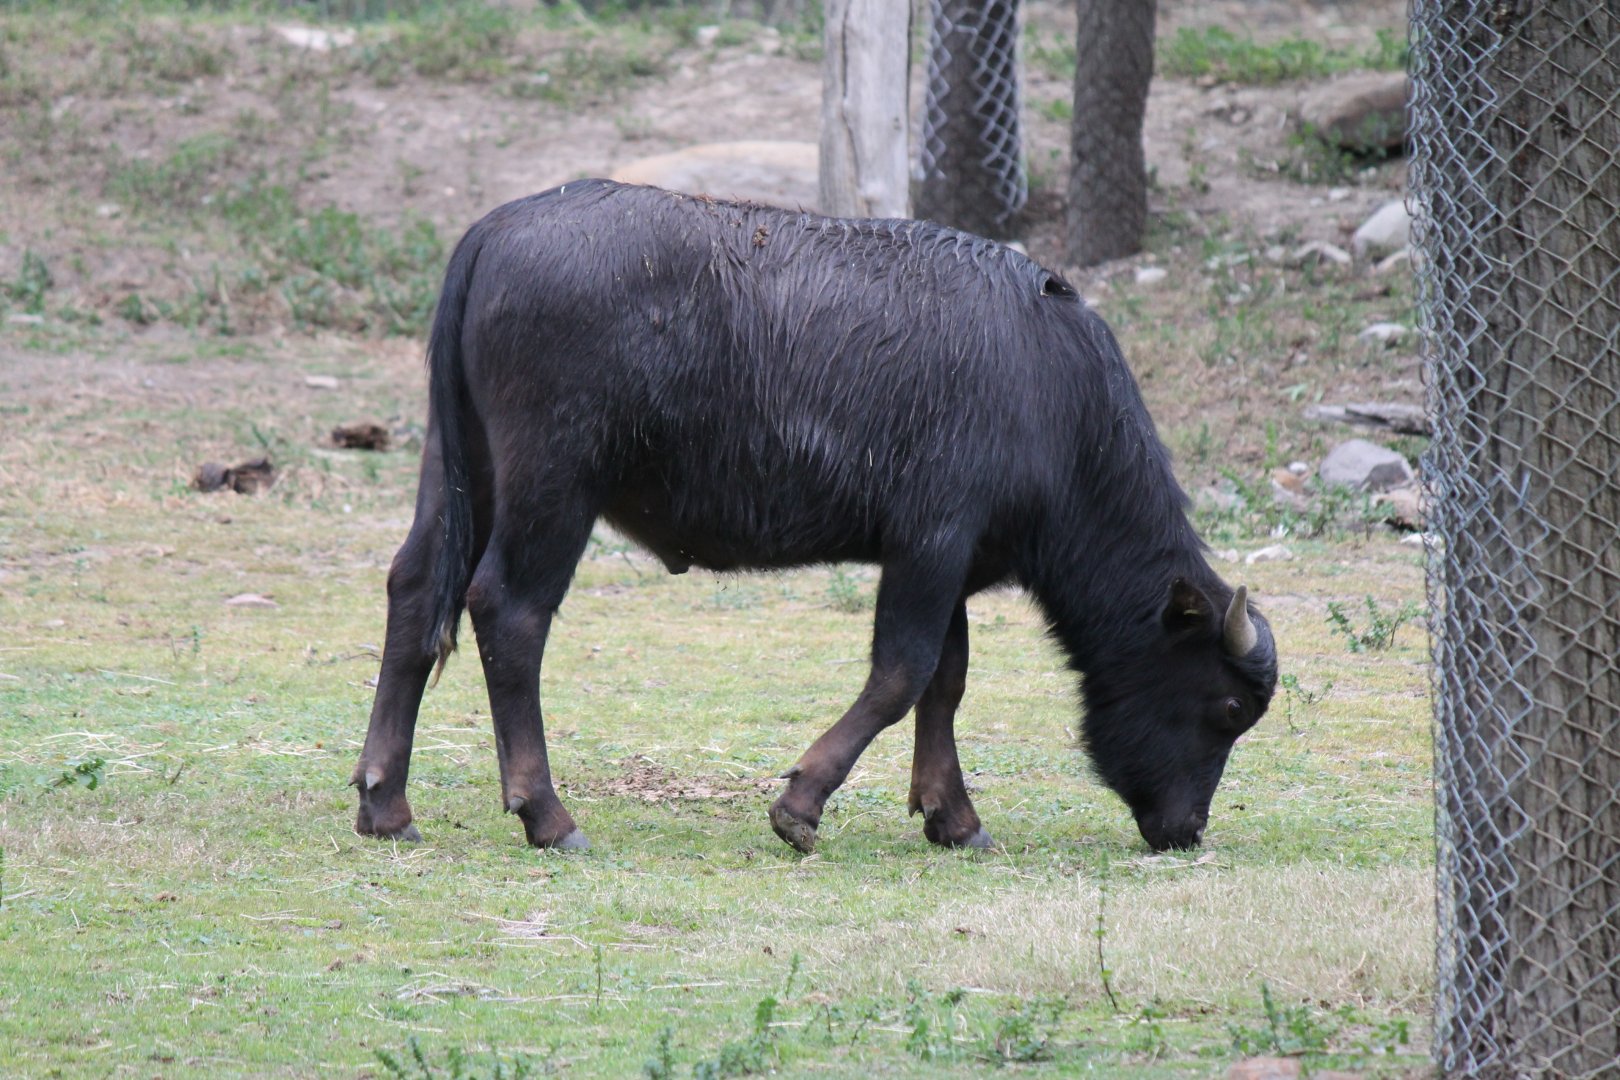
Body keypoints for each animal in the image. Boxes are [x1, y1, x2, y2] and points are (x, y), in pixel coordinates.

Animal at [352, 179, 1277, 854]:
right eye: (1229, 710)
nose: (1184, 831)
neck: (1054, 390)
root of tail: (494, 232)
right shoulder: (929, 546)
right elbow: (902, 674)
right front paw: (800, 807)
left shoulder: (952, 566)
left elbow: (946, 682)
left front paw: (954, 819)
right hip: (553, 488)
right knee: (509, 612)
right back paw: (548, 816)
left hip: (458, 471)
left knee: (413, 589)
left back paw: (386, 804)